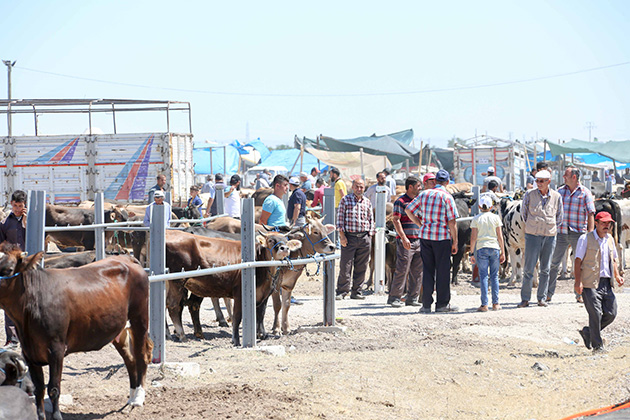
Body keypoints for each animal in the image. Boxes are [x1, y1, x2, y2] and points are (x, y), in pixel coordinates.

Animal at [0, 244, 152, 418]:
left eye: (8, 270)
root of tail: (127, 257)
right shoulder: (29, 352)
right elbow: (39, 389)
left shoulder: (56, 349)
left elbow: (53, 388)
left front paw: (57, 416)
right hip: (118, 327)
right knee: (129, 359)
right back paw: (131, 396)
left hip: (140, 317)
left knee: (141, 355)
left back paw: (138, 398)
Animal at [163, 230, 302, 344]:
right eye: (271, 240)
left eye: (286, 241)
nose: (284, 248)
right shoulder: (239, 293)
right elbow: (237, 316)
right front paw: (236, 340)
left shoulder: (264, 294)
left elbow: (260, 314)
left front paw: (262, 334)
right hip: (177, 281)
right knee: (174, 306)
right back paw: (181, 335)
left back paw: (173, 334)